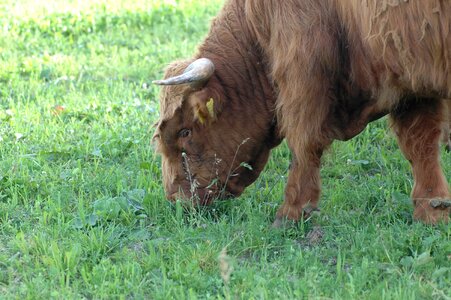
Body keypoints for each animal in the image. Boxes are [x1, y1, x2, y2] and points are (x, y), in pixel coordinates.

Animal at [153, 0, 451, 224]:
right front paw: (432, 209)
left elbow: (304, 144)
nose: (177, 200)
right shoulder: (411, 84)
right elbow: (420, 146)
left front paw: (292, 212)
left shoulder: (303, 75)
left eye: (185, 131)